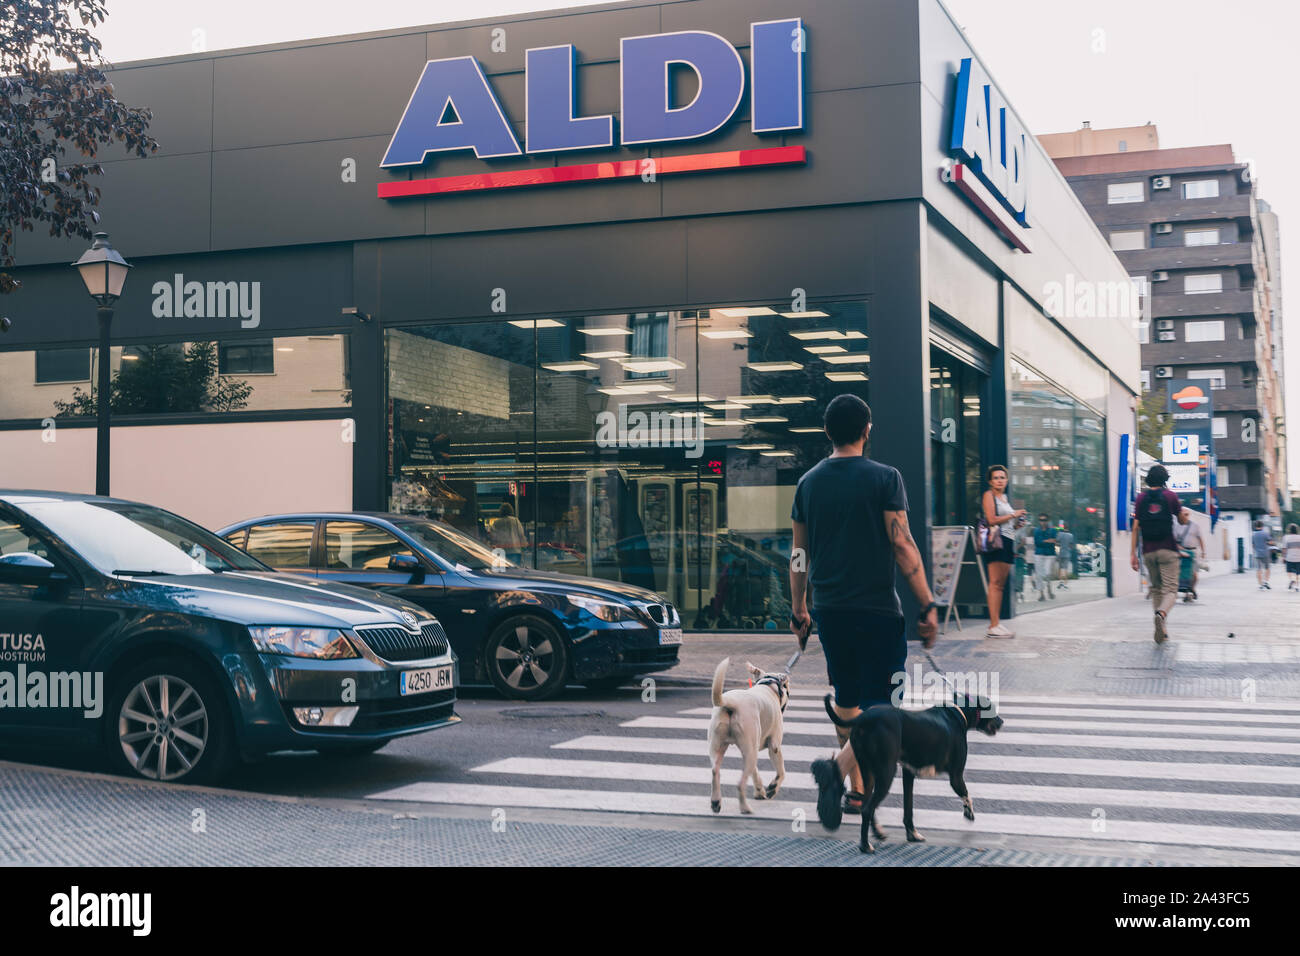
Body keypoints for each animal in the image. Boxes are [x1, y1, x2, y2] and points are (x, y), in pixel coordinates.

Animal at [712, 658, 790, 816]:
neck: (769, 687)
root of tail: (730, 703)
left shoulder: (751, 749)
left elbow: (755, 772)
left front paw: (759, 791)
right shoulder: (774, 747)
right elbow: (781, 771)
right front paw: (772, 788)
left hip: (721, 746)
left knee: (715, 771)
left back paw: (716, 802)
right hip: (750, 750)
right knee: (740, 783)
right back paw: (745, 808)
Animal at [821, 691, 1003, 858]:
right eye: (991, 708)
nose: (1002, 721)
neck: (958, 713)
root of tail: (863, 719)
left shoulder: (909, 774)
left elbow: (908, 808)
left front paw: (912, 834)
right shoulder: (956, 776)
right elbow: (966, 794)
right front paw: (969, 813)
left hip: (867, 771)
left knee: (867, 804)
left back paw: (877, 832)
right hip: (886, 773)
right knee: (867, 809)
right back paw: (865, 845)